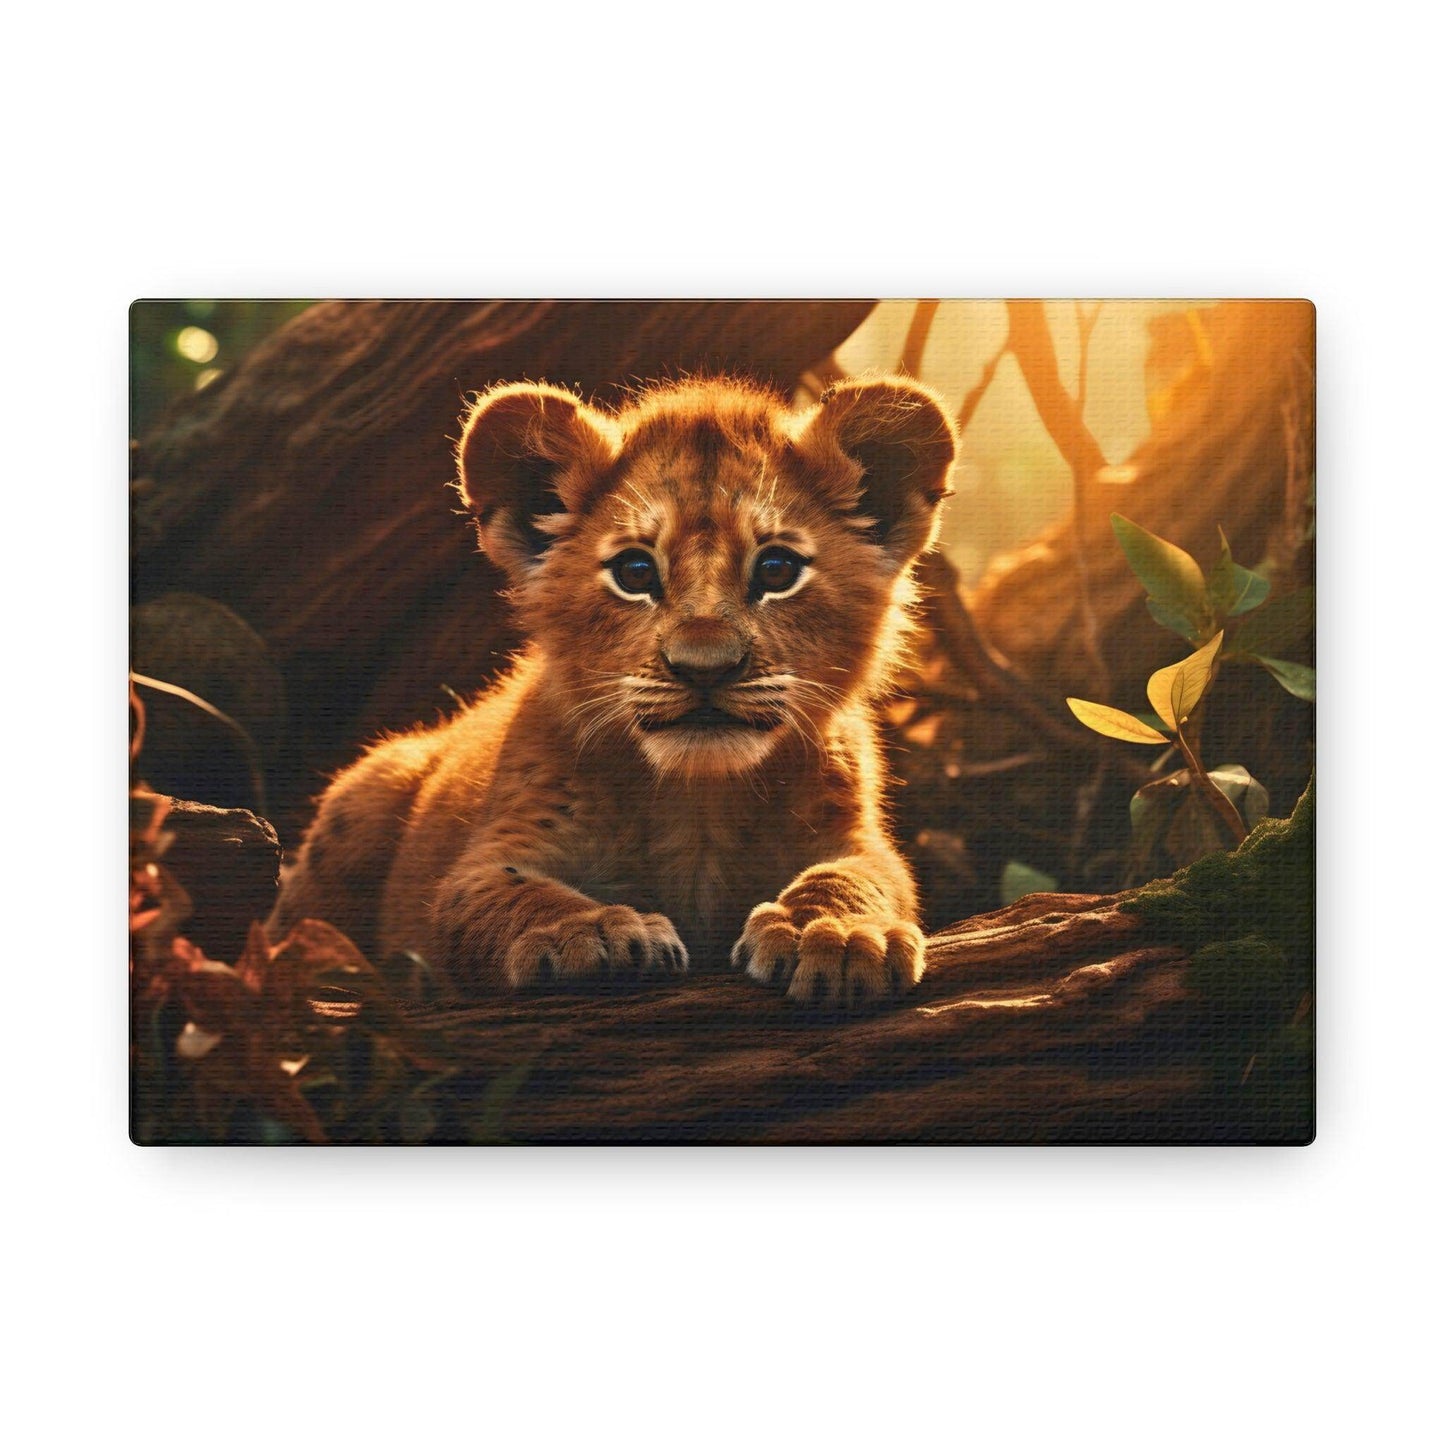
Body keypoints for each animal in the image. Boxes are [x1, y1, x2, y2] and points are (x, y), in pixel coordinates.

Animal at [269, 373, 957, 1007]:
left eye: (777, 569)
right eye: (634, 572)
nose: (704, 668)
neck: (697, 803)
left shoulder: (856, 837)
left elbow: (856, 876)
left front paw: (835, 933)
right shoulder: (489, 857)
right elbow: (513, 895)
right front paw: (591, 932)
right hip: (366, 794)